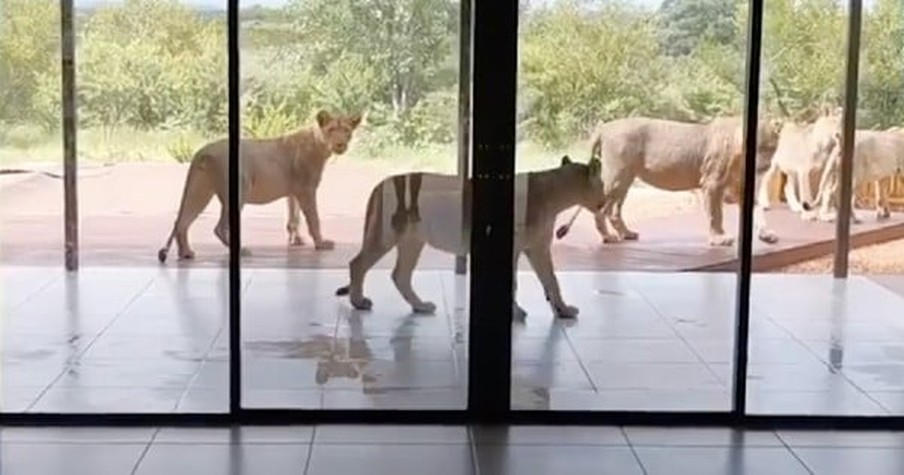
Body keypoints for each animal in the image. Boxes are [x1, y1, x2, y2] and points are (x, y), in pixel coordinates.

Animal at [157, 109, 362, 262]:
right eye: (331, 129)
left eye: (347, 130)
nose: (340, 144)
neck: (320, 144)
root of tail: (203, 150)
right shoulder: (307, 189)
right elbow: (314, 219)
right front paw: (321, 243)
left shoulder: (294, 191)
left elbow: (294, 216)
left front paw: (296, 241)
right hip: (239, 190)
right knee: (218, 227)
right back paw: (240, 251)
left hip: (200, 191)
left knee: (182, 222)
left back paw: (186, 253)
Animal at [334, 156, 608, 320]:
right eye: (603, 184)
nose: (606, 199)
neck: (555, 193)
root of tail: (380, 183)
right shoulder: (516, 249)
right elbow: (515, 283)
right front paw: (516, 312)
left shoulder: (538, 248)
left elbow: (551, 280)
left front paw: (563, 310)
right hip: (386, 235)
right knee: (358, 264)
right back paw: (358, 302)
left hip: (412, 242)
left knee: (400, 275)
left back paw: (420, 306)